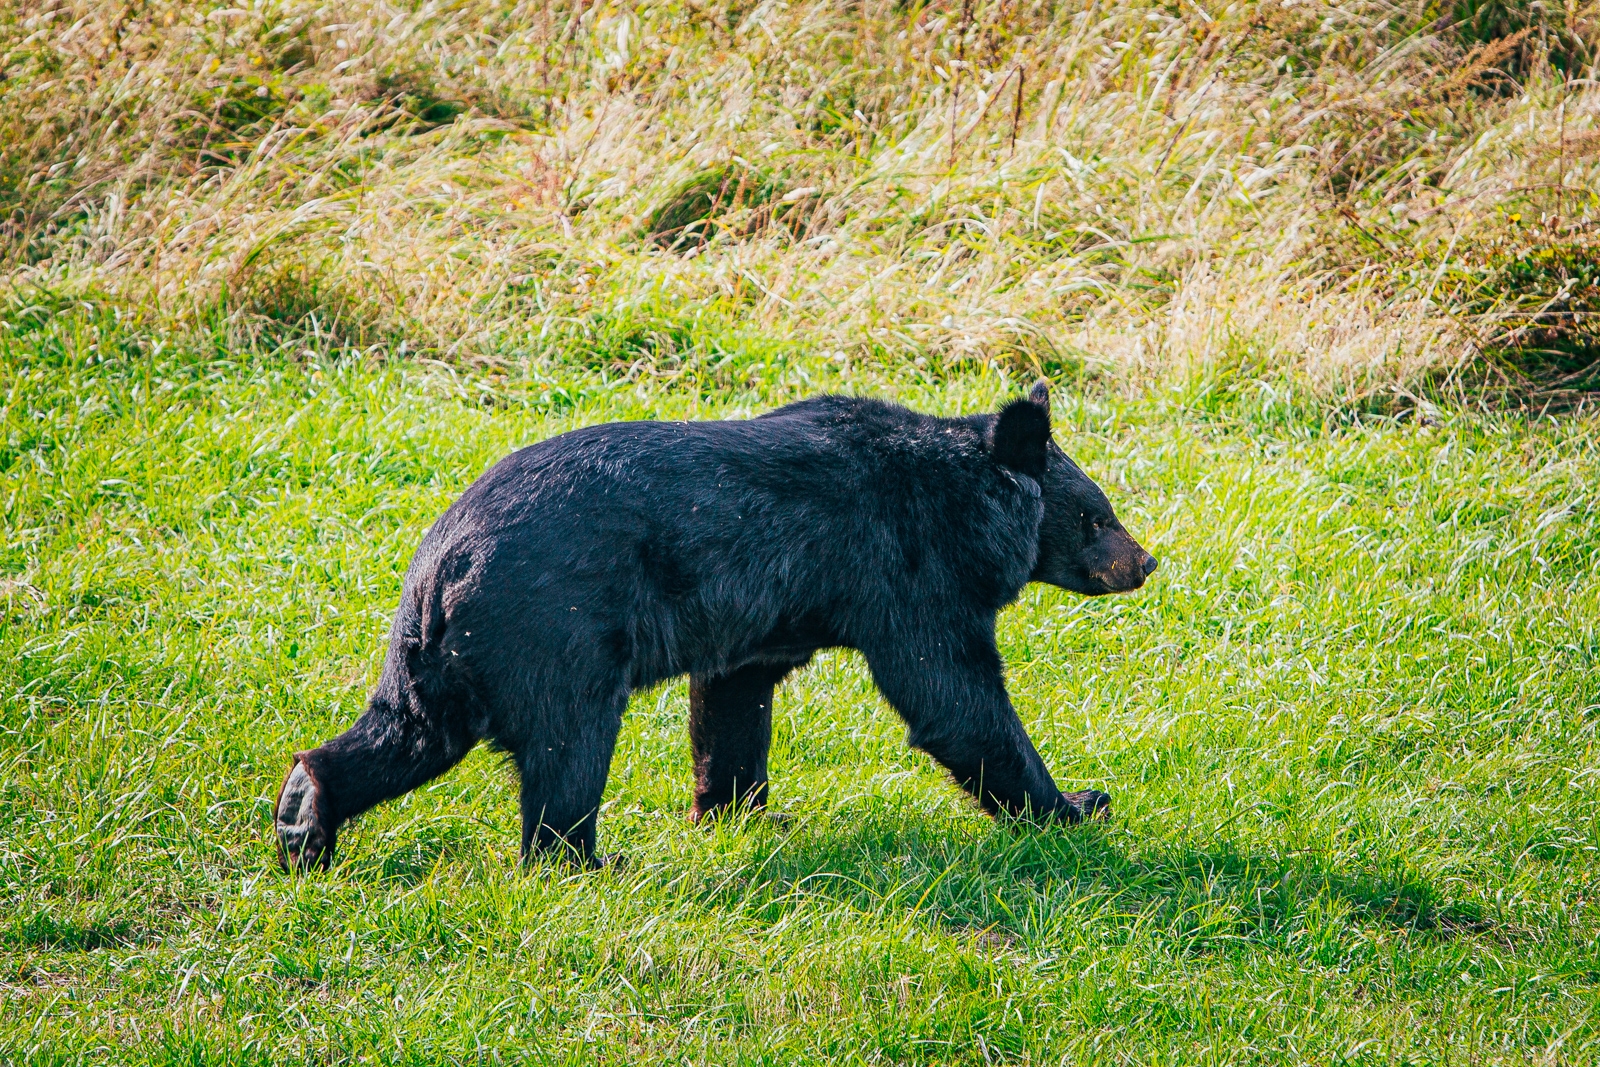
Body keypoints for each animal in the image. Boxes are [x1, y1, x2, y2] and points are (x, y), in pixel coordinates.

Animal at [274, 381, 1157, 870]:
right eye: (1095, 515)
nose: (1144, 562)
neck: (960, 505)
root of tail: (442, 562)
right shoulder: (902, 569)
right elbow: (953, 692)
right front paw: (1075, 801)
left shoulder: (768, 606)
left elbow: (735, 698)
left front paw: (741, 808)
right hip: (558, 633)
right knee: (567, 752)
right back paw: (586, 861)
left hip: (445, 656)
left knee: (408, 730)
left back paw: (302, 816)